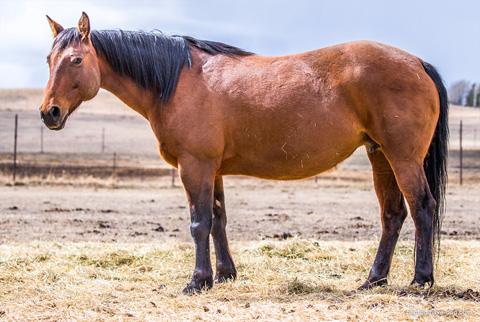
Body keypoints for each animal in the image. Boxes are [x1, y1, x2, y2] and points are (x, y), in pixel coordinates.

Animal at [39, 13, 448, 294]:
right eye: (48, 60)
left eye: (76, 60)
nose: (49, 113)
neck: (175, 81)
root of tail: (417, 62)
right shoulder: (213, 169)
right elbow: (218, 219)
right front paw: (224, 275)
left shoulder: (195, 166)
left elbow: (199, 222)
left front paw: (198, 280)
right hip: (380, 156)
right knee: (393, 215)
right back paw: (373, 280)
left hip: (403, 158)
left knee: (422, 207)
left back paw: (420, 279)